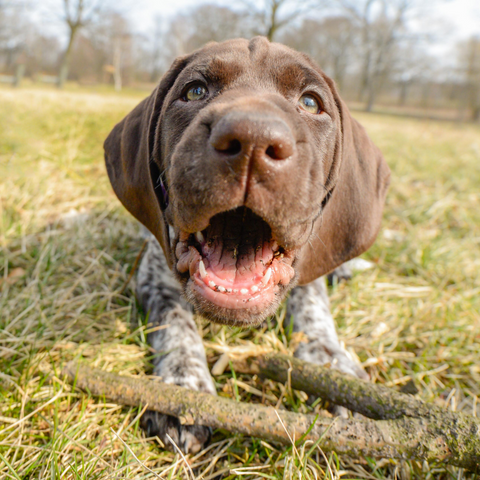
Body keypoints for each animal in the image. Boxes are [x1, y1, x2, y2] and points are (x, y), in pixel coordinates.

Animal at [104, 37, 390, 454]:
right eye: (195, 91)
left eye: (310, 102)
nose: (253, 138)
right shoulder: (154, 277)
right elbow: (175, 323)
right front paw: (183, 388)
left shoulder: (305, 273)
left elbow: (314, 311)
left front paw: (332, 367)